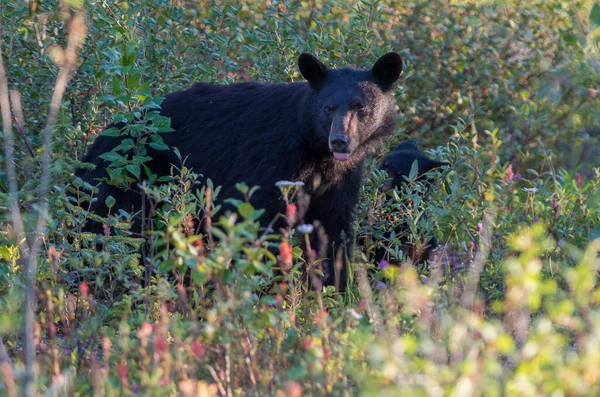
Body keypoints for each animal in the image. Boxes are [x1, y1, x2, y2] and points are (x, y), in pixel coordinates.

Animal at [76, 51, 404, 290]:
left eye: (360, 107)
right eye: (327, 107)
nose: (339, 140)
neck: (316, 151)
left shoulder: (340, 180)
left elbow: (333, 228)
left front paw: (334, 289)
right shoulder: (271, 159)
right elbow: (256, 221)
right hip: (127, 181)